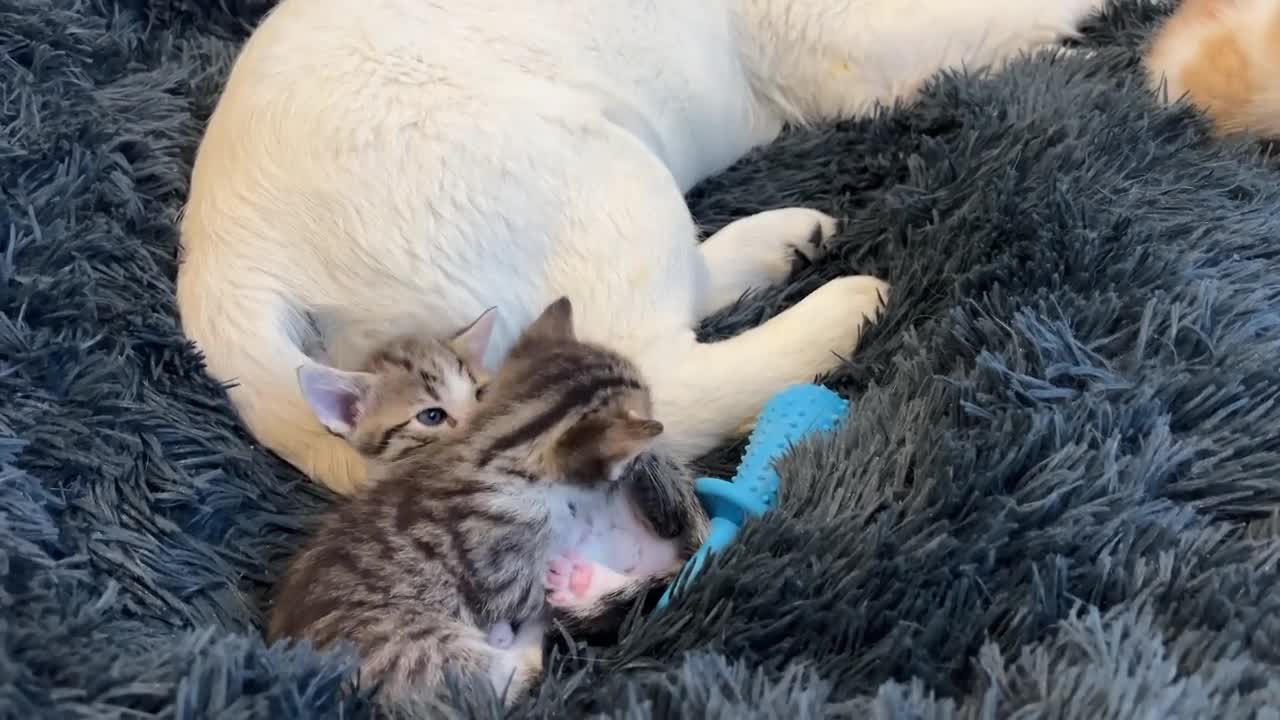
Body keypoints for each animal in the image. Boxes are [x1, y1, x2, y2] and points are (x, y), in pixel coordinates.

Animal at [272, 294, 711, 702]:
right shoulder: (502, 568)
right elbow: (536, 593)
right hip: (417, 651)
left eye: (481, 393)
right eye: (431, 416)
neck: (496, 442)